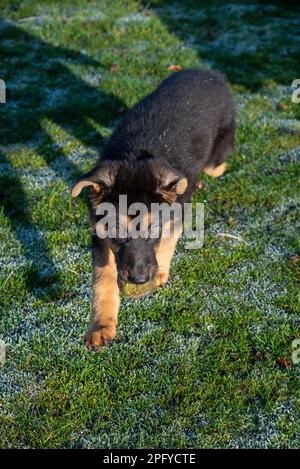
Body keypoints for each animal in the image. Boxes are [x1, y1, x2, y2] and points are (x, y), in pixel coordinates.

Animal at [72, 67, 234, 350]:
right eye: (117, 233)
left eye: (152, 231)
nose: (138, 280)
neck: (134, 155)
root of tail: (207, 72)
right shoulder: (99, 234)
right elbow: (103, 278)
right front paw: (101, 326)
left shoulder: (176, 211)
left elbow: (168, 238)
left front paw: (159, 272)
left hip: (216, 157)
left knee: (217, 166)